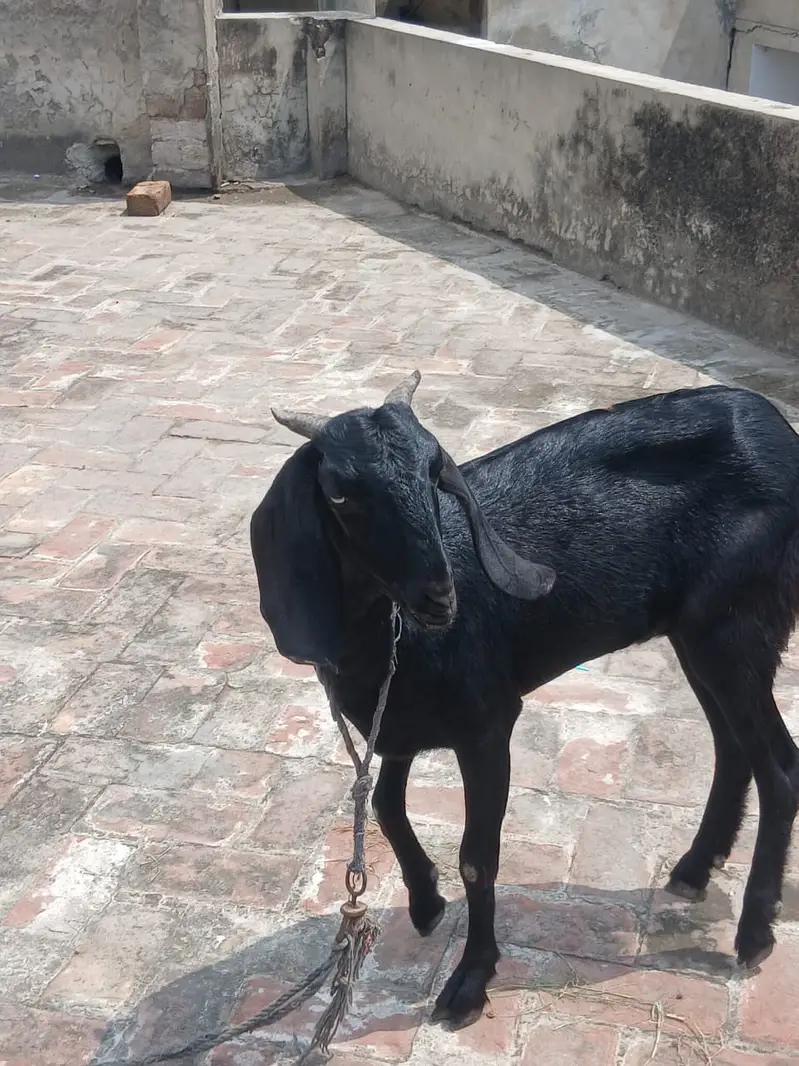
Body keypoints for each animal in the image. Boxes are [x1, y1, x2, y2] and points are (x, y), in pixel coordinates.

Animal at [250, 371, 799, 1027]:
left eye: (433, 471)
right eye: (337, 494)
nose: (440, 596)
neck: (387, 642)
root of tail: (779, 431)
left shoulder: (487, 722)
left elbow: (477, 856)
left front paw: (469, 981)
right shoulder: (401, 722)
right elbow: (383, 804)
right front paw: (426, 902)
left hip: (737, 624)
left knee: (780, 766)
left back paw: (754, 934)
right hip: (697, 632)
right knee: (732, 746)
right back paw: (695, 868)